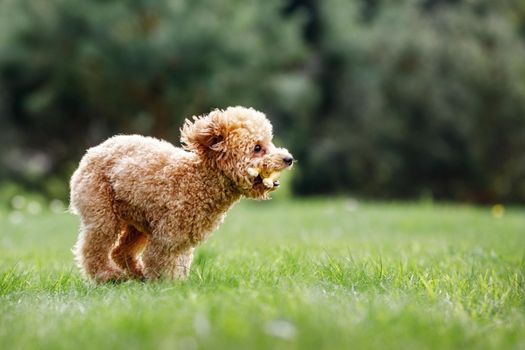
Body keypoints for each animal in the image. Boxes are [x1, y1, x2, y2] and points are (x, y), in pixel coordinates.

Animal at [69, 106, 292, 282]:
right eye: (257, 148)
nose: (289, 158)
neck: (199, 178)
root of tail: (92, 151)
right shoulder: (168, 236)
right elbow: (159, 260)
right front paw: (164, 285)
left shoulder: (183, 239)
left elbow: (180, 261)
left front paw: (177, 283)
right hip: (102, 212)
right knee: (93, 248)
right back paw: (108, 276)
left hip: (137, 222)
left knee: (120, 251)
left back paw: (137, 274)